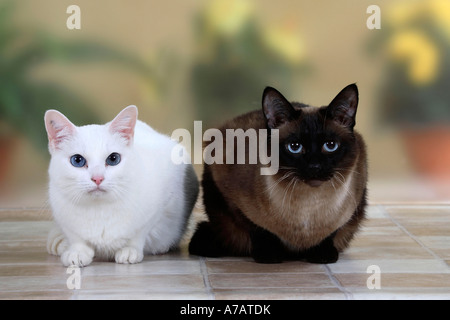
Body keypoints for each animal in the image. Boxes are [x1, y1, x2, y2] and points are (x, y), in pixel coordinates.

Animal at [44, 106, 199, 266]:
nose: (98, 178)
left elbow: (140, 232)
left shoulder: (165, 194)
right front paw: (78, 251)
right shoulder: (62, 214)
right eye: (77, 160)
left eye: (113, 159)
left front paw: (130, 250)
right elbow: (76, 237)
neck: (100, 209)